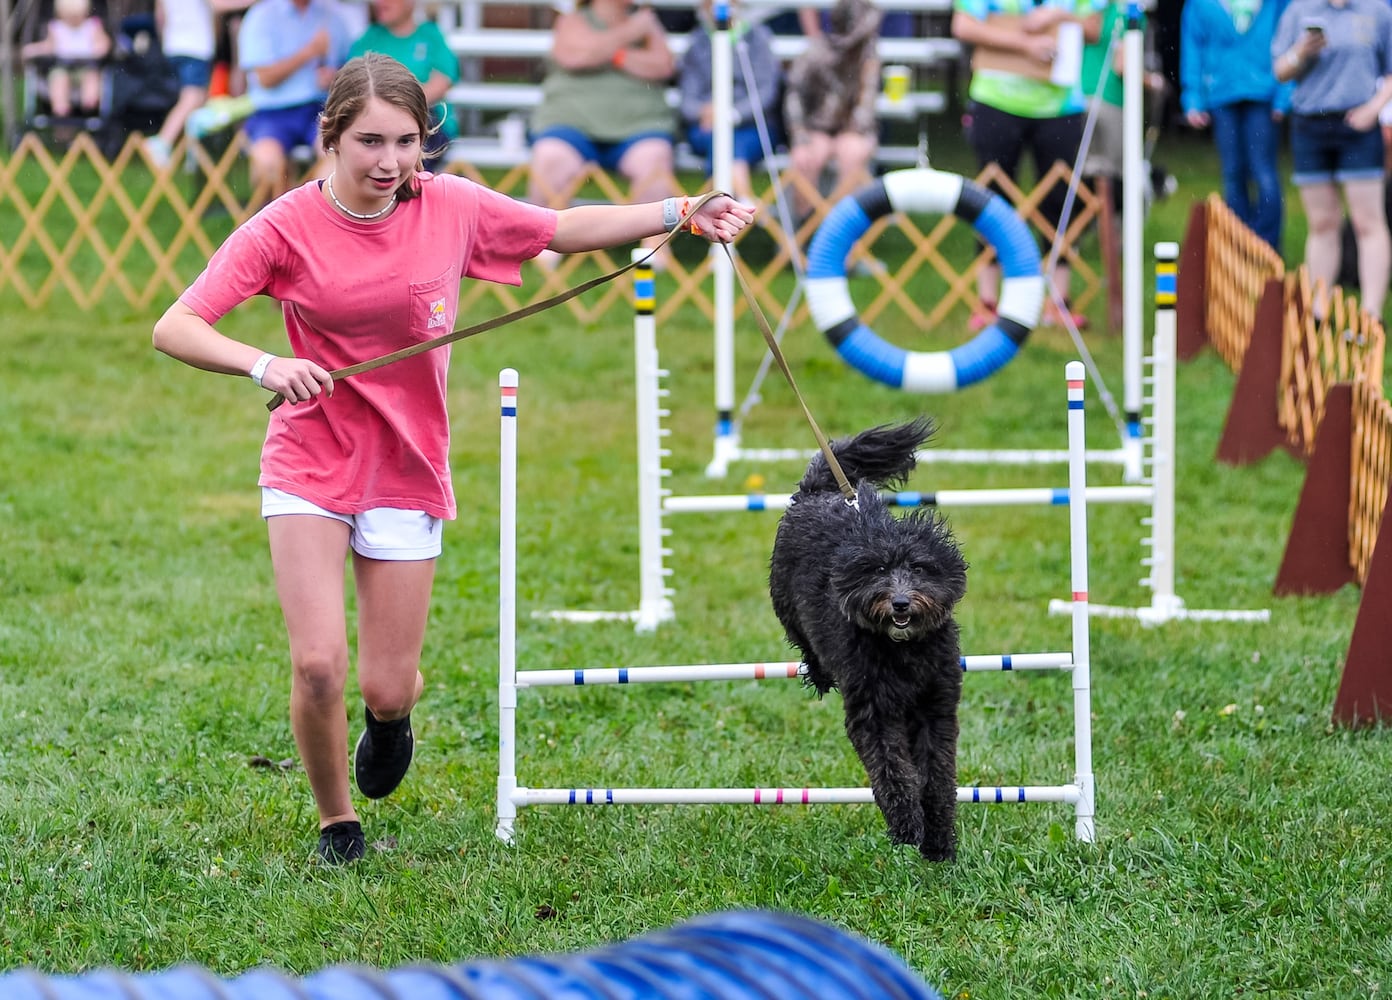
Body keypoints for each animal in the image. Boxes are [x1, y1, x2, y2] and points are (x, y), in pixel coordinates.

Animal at [773, 417, 968, 863]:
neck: (903, 651)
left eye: (918, 568)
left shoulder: (936, 706)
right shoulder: (873, 709)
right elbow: (892, 769)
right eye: (878, 569)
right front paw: (908, 825)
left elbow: (937, 775)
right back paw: (819, 673)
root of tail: (818, 492)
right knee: (805, 642)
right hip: (786, 604)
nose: (900, 603)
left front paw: (938, 839)